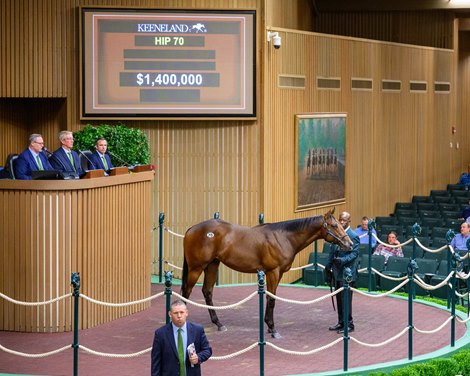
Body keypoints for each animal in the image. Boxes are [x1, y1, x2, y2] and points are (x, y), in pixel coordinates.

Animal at [182, 209, 350, 338]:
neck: (283, 237)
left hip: (212, 265)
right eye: (334, 225)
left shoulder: (277, 273)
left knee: (207, 291)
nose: (349, 244)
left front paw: (269, 326)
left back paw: (218, 323)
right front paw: (273, 328)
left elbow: (270, 297)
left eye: (341, 224)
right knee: (186, 291)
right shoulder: (273, 272)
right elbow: (271, 299)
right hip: (196, 268)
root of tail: (191, 229)